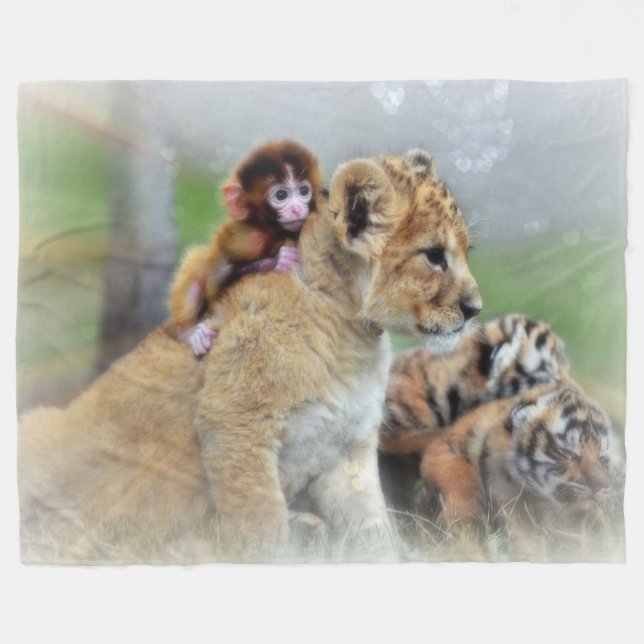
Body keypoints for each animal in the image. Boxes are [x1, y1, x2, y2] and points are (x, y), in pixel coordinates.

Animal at [166, 140, 324, 356]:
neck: (273, 231)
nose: (297, 208)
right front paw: (279, 261)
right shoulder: (247, 239)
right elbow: (216, 282)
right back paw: (188, 333)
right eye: (281, 195)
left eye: (303, 191)